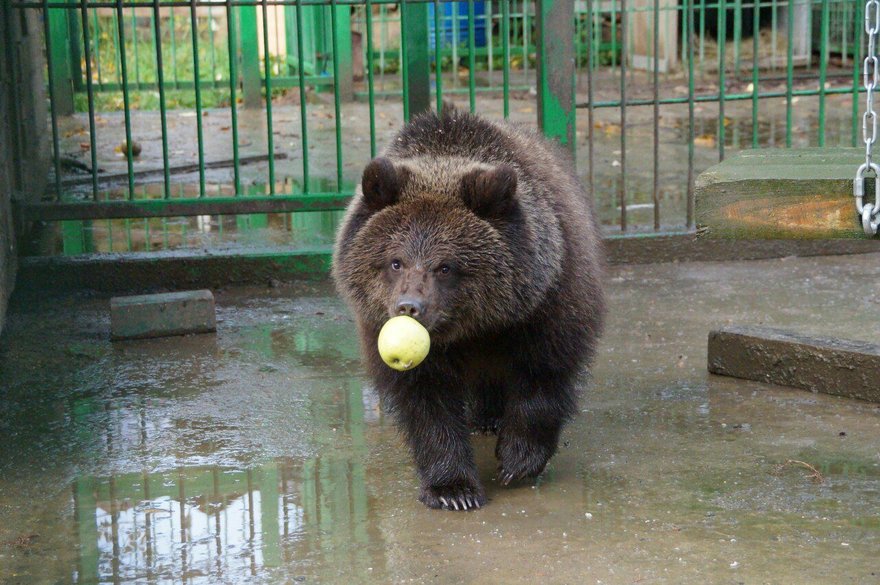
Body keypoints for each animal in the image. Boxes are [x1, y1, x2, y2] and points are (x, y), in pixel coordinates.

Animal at [332, 105, 604, 512]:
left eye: (445, 266)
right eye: (395, 261)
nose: (409, 307)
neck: (473, 327)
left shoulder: (548, 303)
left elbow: (545, 372)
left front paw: (518, 459)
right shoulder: (383, 330)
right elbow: (427, 403)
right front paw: (453, 488)